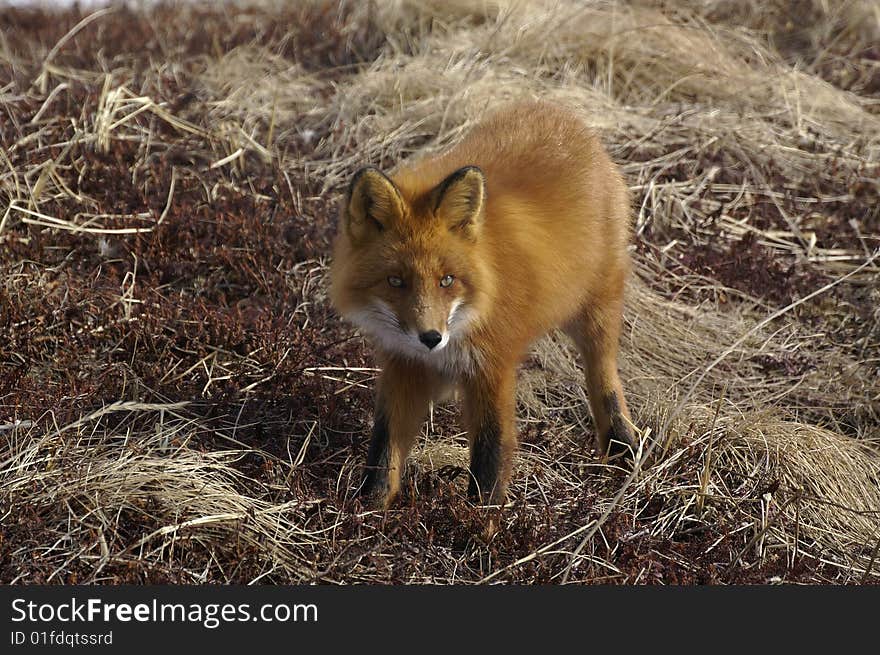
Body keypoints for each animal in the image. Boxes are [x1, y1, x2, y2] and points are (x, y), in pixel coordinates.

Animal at [326, 102, 636, 510]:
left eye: (447, 280)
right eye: (396, 281)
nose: (430, 338)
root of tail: (558, 112)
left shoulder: (492, 368)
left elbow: (491, 455)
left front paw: (480, 522)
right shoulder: (405, 366)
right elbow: (384, 449)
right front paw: (367, 512)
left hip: (595, 310)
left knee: (604, 374)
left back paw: (621, 444)